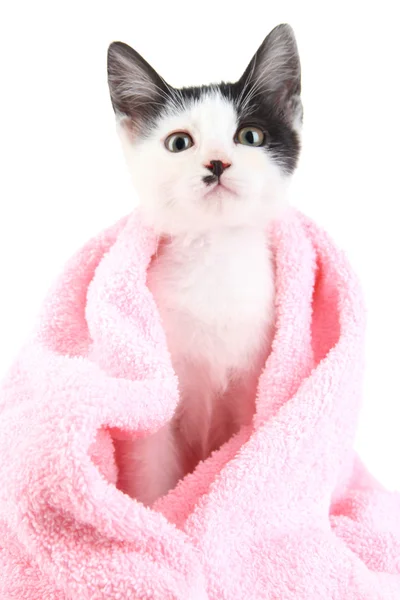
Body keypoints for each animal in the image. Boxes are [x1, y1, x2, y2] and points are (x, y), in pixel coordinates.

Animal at [108, 23, 302, 504]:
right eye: (179, 143)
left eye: (250, 136)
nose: (217, 163)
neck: (215, 255)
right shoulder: (155, 396)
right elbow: (152, 472)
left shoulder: (254, 389)